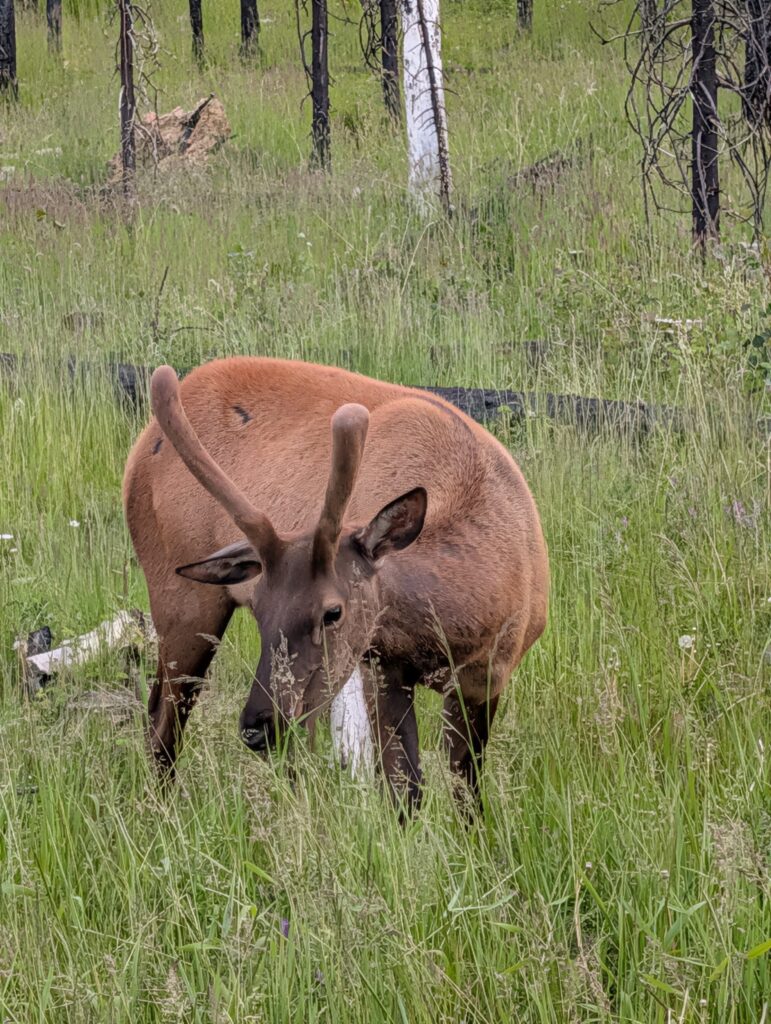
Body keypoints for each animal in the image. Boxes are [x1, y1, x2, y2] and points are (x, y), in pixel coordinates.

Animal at [123, 357, 548, 813]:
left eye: (333, 611)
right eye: (259, 608)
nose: (258, 726)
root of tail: (143, 444)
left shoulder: (488, 675)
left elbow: (466, 794)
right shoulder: (381, 666)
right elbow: (405, 790)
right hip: (183, 598)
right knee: (164, 718)